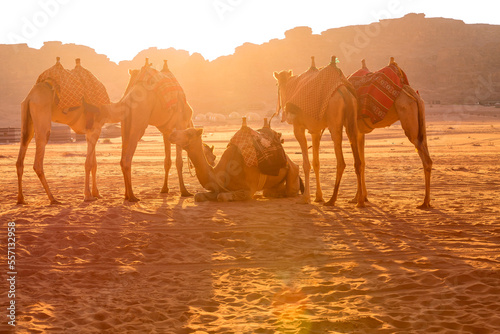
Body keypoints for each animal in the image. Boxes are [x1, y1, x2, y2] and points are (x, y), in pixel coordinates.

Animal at [16, 57, 120, 204]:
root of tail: (30, 96)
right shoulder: (96, 129)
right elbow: (88, 163)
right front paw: (88, 195)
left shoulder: (91, 131)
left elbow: (94, 163)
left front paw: (97, 193)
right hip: (41, 114)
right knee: (38, 160)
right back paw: (53, 198)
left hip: (26, 118)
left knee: (21, 154)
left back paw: (21, 199)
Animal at [168, 118, 302, 202]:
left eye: (189, 133)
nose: (172, 135)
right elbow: (199, 196)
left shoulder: (249, 190)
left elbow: (221, 197)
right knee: (268, 192)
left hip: (292, 173)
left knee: (291, 190)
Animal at [274, 55, 364, 206]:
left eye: (277, 85)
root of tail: (344, 91)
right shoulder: (315, 131)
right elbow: (316, 163)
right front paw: (318, 196)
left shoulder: (299, 128)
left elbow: (306, 164)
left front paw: (306, 198)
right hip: (351, 120)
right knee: (357, 159)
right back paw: (359, 201)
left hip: (334, 122)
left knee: (341, 161)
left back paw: (332, 199)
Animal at [348, 57, 434, 209]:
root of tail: (414, 95)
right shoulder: (360, 132)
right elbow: (362, 162)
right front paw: (361, 197)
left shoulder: (352, 129)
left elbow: (357, 162)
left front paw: (358, 200)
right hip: (421, 121)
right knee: (426, 151)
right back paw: (427, 201)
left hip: (409, 121)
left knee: (425, 158)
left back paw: (424, 202)